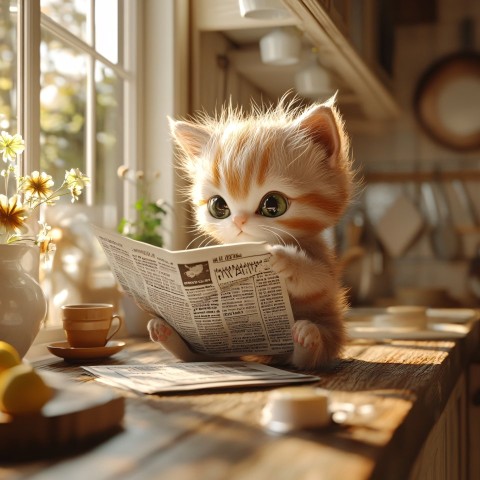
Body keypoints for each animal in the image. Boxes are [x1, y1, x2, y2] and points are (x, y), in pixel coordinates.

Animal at [148, 95, 354, 370]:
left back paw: (306, 337)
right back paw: (165, 332)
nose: (238, 220)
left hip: (331, 328)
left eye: (273, 204)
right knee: (199, 354)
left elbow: (316, 279)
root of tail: (266, 355)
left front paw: (283, 259)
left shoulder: (325, 268)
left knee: (309, 354)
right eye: (218, 206)